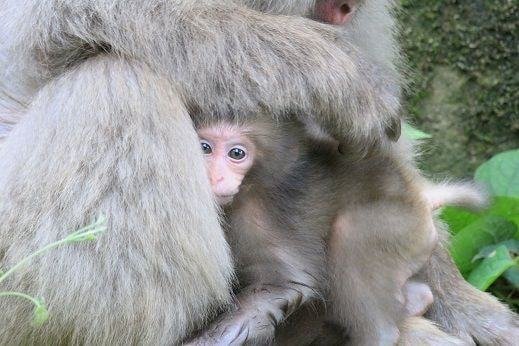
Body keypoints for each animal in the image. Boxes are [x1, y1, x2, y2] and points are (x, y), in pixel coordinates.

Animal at [195, 119, 438, 346]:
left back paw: (380, 335)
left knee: (350, 233)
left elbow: (286, 283)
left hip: (404, 224)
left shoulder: (258, 216)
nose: (214, 177)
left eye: (237, 153)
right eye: (205, 147)